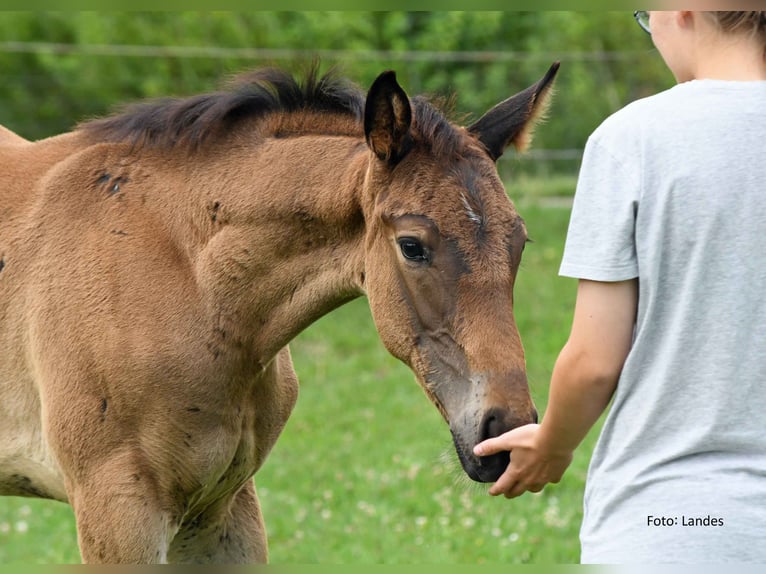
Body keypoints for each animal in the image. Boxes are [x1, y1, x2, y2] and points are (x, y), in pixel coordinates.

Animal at [0, 62, 558, 563]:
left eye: (520, 243)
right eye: (412, 246)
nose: (506, 433)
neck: (186, 281)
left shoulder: (221, 511)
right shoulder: (117, 513)